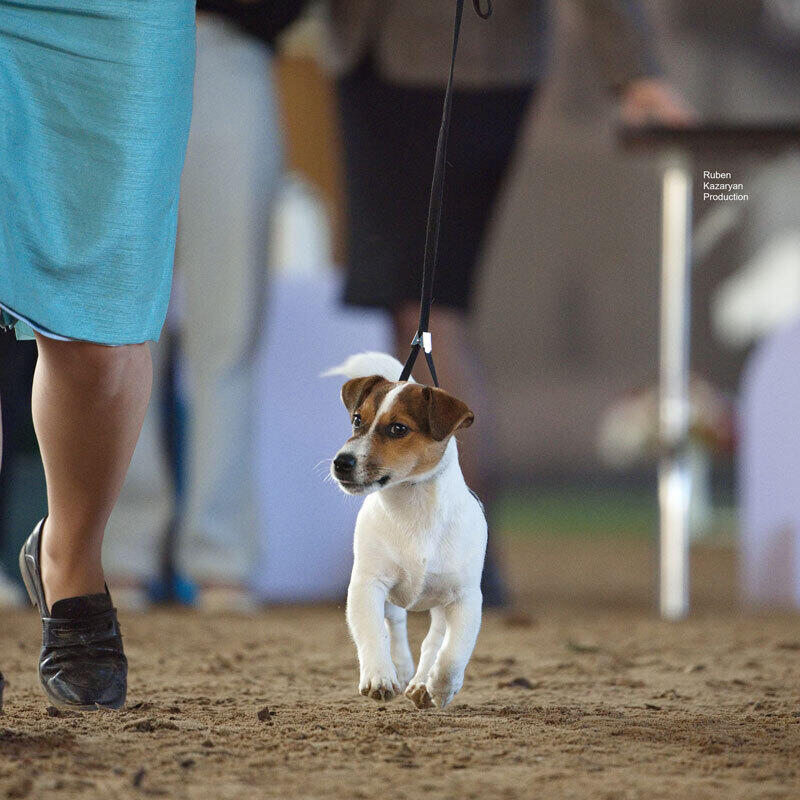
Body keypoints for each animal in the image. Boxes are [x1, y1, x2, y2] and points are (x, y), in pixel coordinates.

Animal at [324, 354, 488, 708]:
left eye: (398, 428)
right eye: (357, 420)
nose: (341, 462)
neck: (414, 508)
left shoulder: (466, 599)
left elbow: (452, 653)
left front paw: (439, 687)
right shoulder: (367, 585)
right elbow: (374, 633)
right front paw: (379, 676)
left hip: (441, 603)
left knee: (434, 639)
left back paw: (421, 682)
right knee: (396, 625)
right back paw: (400, 670)